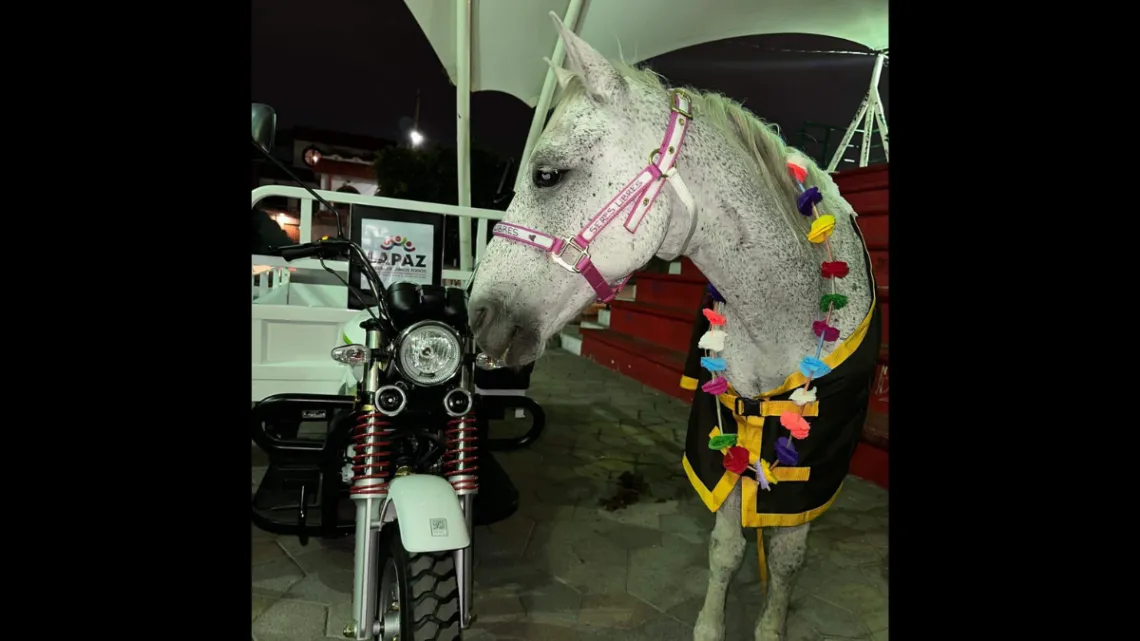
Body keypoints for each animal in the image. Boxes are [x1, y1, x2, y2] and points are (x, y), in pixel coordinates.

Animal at [469, 15, 880, 641]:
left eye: (546, 175)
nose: (478, 316)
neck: (788, 310)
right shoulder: (726, 427)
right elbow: (727, 547)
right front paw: (711, 625)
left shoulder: (815, 456)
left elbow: (786, 558)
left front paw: (770, 626)